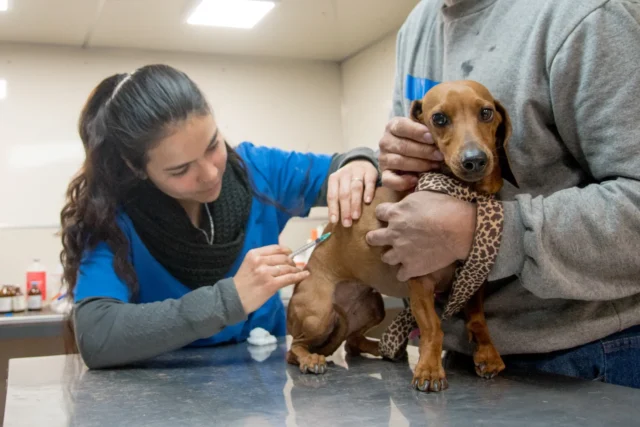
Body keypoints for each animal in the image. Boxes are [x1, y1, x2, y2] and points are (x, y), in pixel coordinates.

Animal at [288, 79, 516, 392]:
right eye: (439, 118)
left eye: (486, 112)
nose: (475, 160)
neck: (466, 193)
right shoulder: (419, 283)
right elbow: (433, 327)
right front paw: (429, 370)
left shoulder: (473, 280)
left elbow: (478, 321)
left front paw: (488, 354)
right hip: (318, 314)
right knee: (293, 349)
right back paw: (310, 359)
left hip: (373, 307)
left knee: (351, 342)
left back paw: (382, 349)